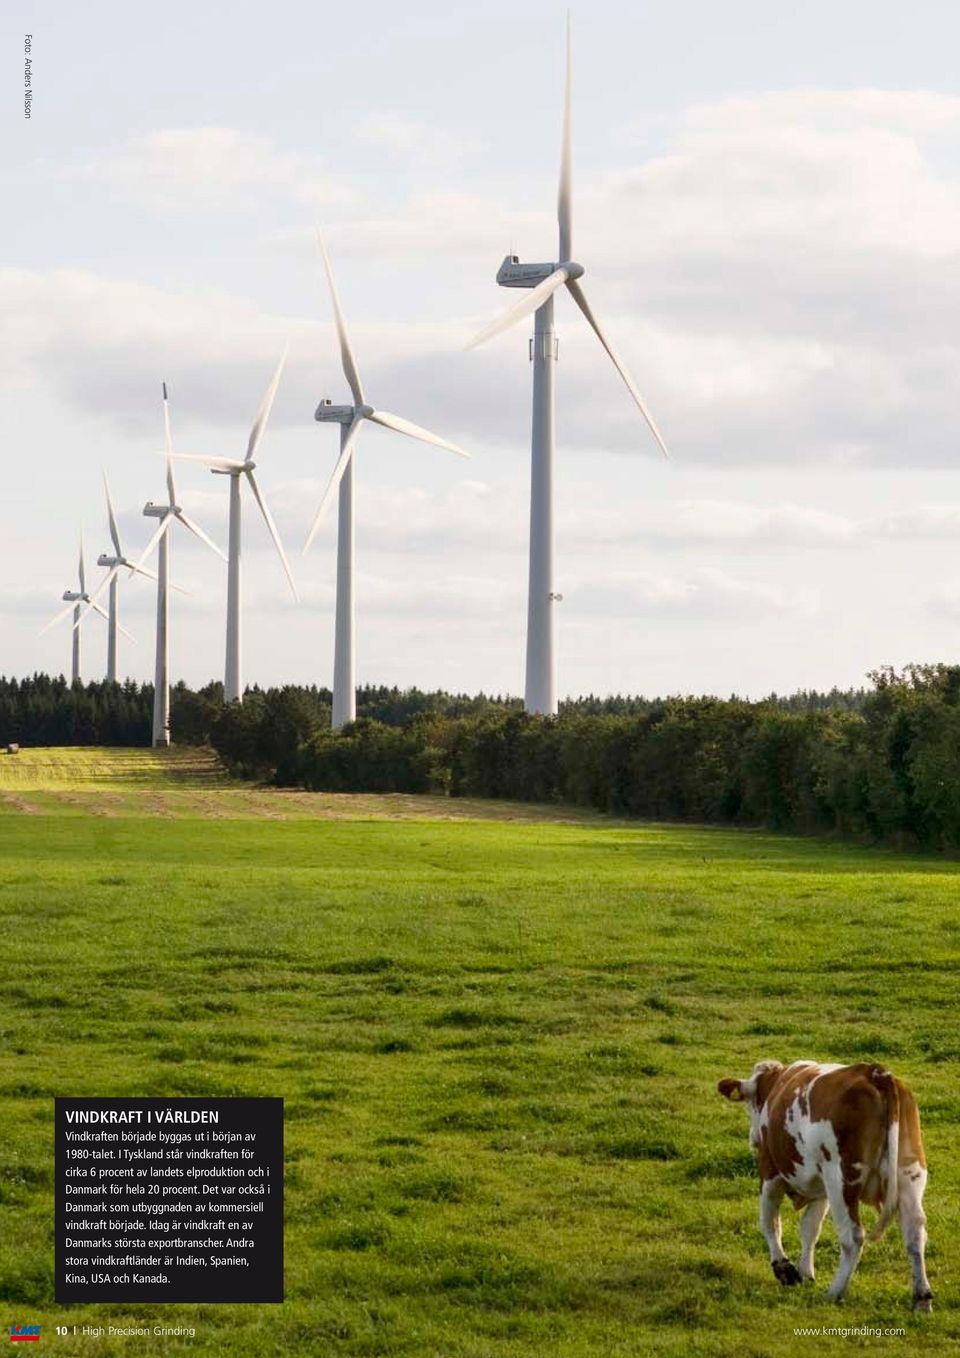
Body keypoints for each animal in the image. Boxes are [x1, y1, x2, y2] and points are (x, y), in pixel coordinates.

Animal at [722, 1059, 928, 1303]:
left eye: (751, 1102)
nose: (752, 1137)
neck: (774, 1084)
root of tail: (875, 1073)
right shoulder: (821, 1190)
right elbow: (809, 1228)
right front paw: (806, 1272)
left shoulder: (769, 1171)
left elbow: (770, 1222)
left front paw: (784, 1268)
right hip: (910, 1173)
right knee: (915, 1231)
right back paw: (922, 1296)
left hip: (841, 1179)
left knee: (852, 1237)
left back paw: (834, 1292)